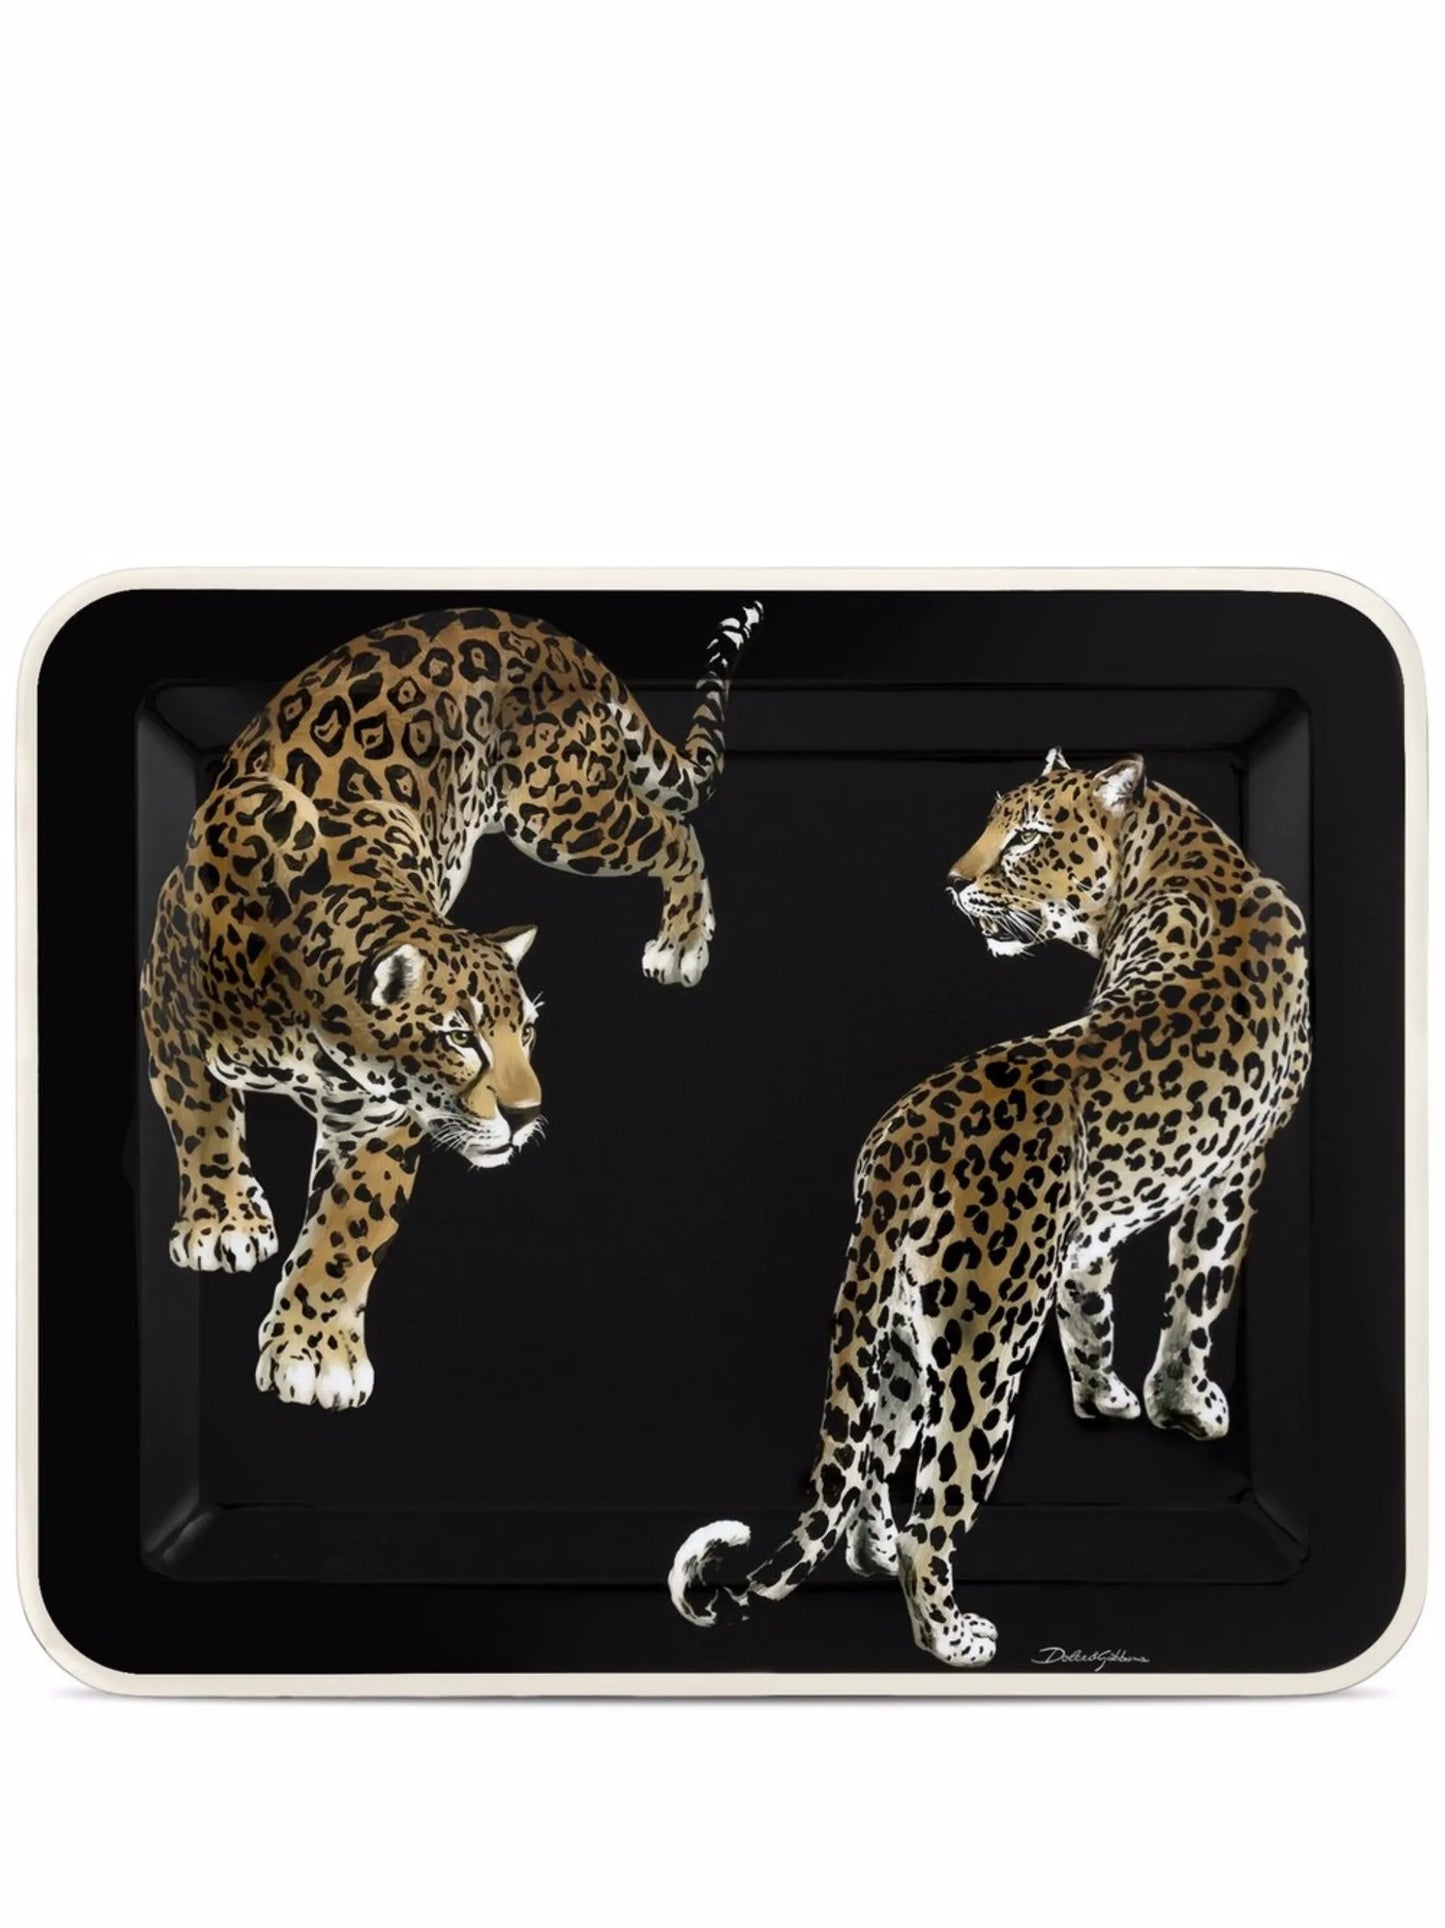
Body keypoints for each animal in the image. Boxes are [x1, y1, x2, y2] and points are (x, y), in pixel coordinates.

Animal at [141, 600, 762, 1409]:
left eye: (526, 1032)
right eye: (458, 1036)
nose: (528, 1115)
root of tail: (541, 629)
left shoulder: (379, 1117)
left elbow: (349, 1227)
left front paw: (315, 1350)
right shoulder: (166, 1002)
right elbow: (199, 1115)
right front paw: (222, 1221)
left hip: (559, 810)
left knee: (672, 829)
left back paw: (683, 941)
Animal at [670, 748, 1310, 1667]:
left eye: (1029, 835)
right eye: (992, 825)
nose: (952, 882)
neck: (1189, 857)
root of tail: (900, 1139)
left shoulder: (1090, 1231)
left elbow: (1094, 1306)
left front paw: (1106, 1399)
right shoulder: (1235, 1173)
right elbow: (1197, 1299)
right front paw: (1188, 1407)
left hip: (904, 1326)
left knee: (872, 1453)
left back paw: (869, 1554)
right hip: (988, 1338)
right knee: (934, 1510)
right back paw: (952, 1635)